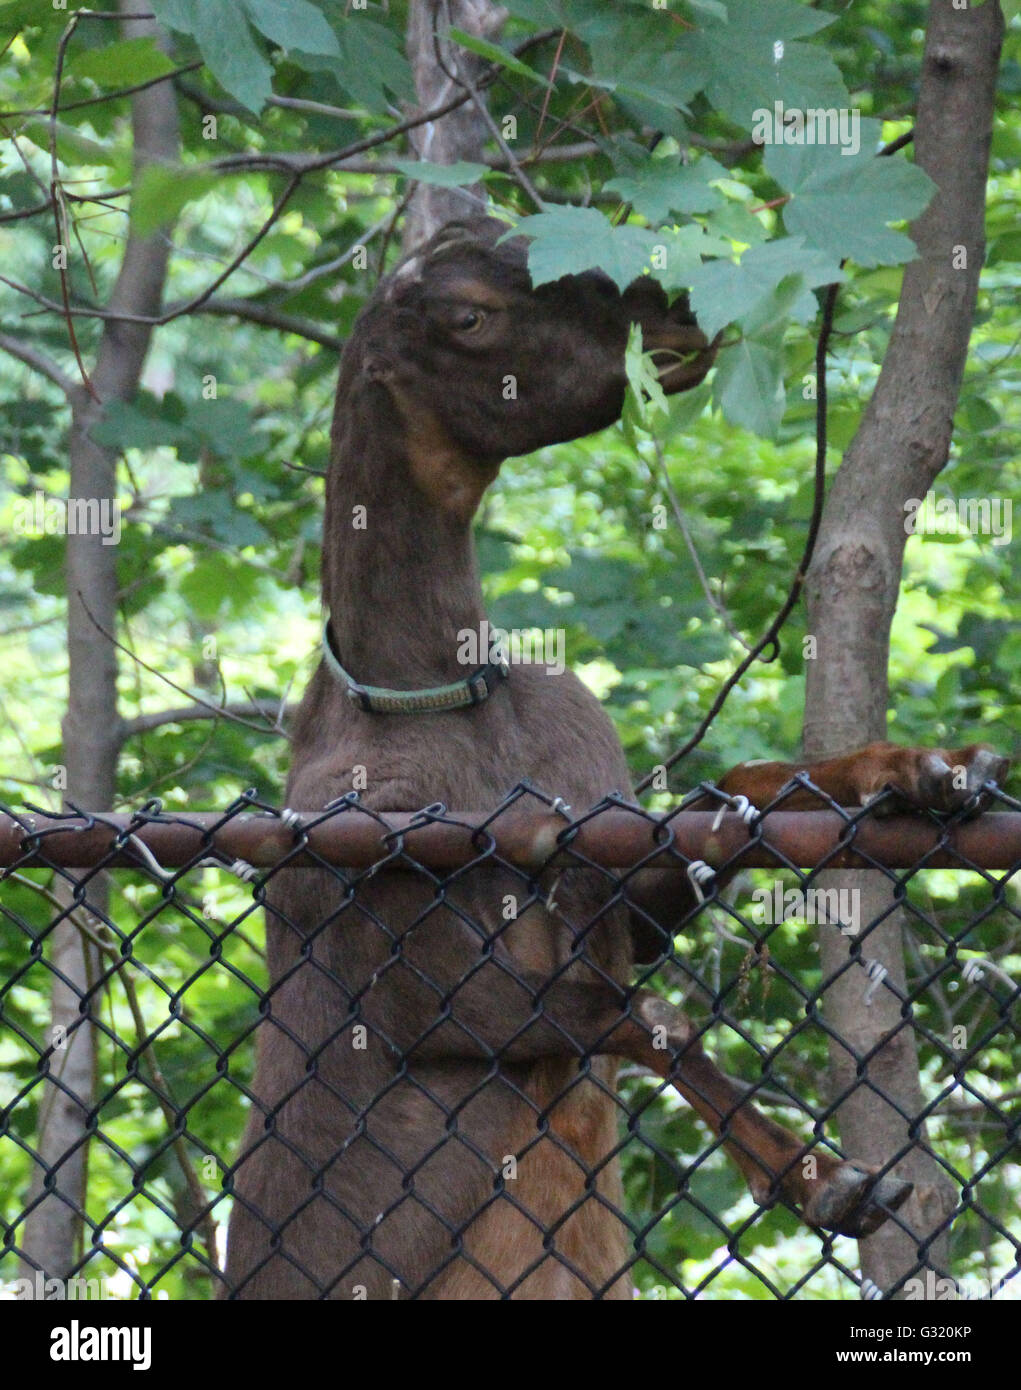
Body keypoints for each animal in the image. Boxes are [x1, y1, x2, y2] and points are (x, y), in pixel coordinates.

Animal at [219, 216, 1011, 1301]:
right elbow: (642, 1010)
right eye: (468, 314)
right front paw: (831, 1181)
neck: (439, 698)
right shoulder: (408, 976)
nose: (672, 312)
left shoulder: (601, 858)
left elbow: (721, 812)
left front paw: (925, 769)